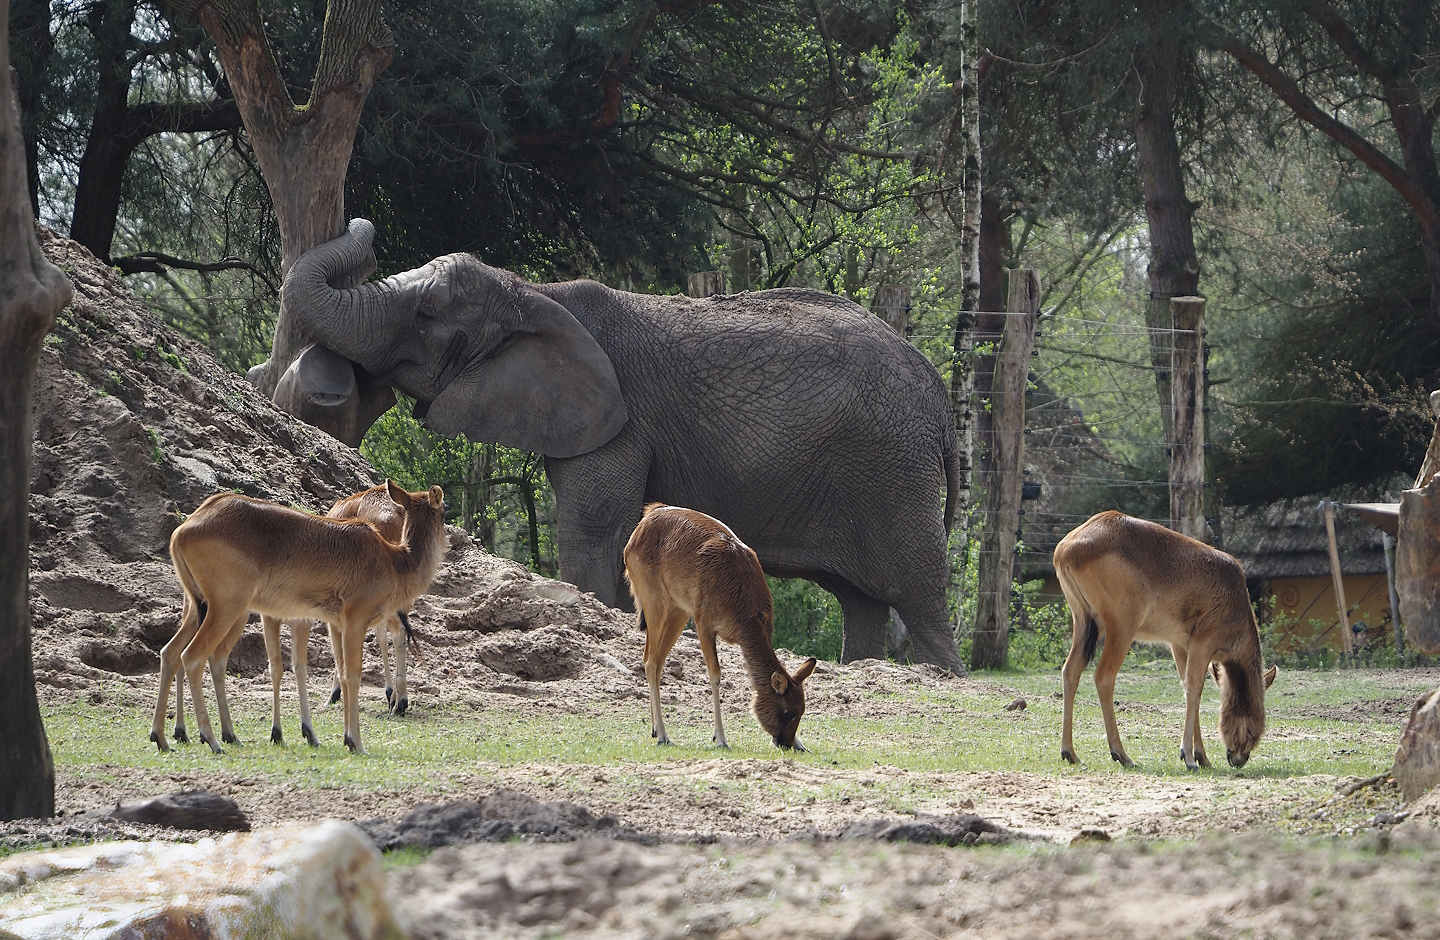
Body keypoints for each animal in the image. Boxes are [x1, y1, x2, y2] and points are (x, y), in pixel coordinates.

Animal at [282, 219, 966, 672]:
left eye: (426, 316)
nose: (361, 223)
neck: (535, 292)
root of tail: (938, 393)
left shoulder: (618, 422)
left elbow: (594, 527)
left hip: (892, 467)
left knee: (916, 592)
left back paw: (941, 674)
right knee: (862, 600)